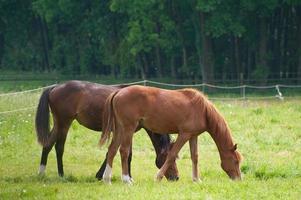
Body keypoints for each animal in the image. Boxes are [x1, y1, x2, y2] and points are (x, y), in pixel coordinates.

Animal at [34, 81, 178, 181]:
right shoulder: (127, 131)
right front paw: (123, 177)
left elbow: (119, 153)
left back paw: (41, 173)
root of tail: (55, 87)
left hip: (58, 124)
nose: (176, 177)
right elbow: (125, 154)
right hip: (64, 123)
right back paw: (61, 175)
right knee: (59, 147)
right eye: (169, 158)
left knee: (47, 145)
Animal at [99, 85, 243, 184]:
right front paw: (158, 177)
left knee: (112, 150)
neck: (202, 110)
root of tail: (118, 92)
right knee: (123, 151)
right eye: (236, 161)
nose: (238, 179)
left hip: (119, 129)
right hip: (128, 129)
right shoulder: (184, 135)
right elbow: (172, 155)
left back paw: (107, 179)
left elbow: (195, 157)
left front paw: (196, 179)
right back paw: (126, 180)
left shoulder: (193, 136)